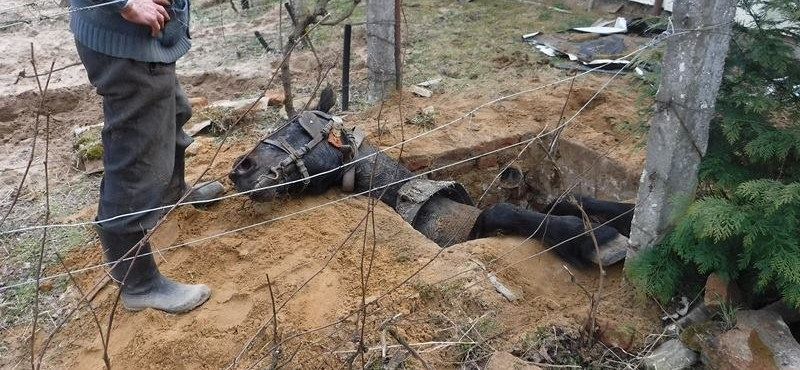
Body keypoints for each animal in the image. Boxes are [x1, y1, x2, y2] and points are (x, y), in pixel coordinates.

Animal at [227, 87, 632, 266]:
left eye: (299, 125)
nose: (240, 170)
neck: (416, 196)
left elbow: (566, 200)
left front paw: (612, 223)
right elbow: (501, 211)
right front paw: (589, 237)